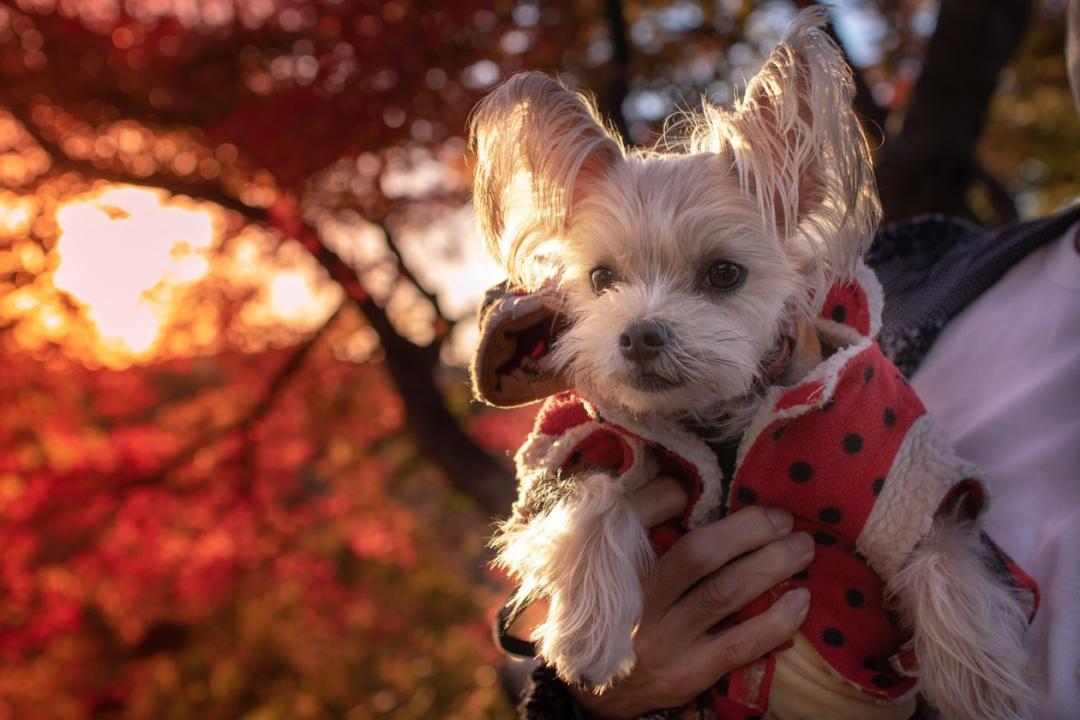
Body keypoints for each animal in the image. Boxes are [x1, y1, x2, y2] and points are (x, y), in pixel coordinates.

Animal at [470, 7, 1036, 720]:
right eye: (600, 279)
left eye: (724, 273)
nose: (639, 335)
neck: (721, 419)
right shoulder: (585, 440)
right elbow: (594, 496)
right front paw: (587, 635)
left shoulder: (913, 479)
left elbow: (943, 559)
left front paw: (991, 694)